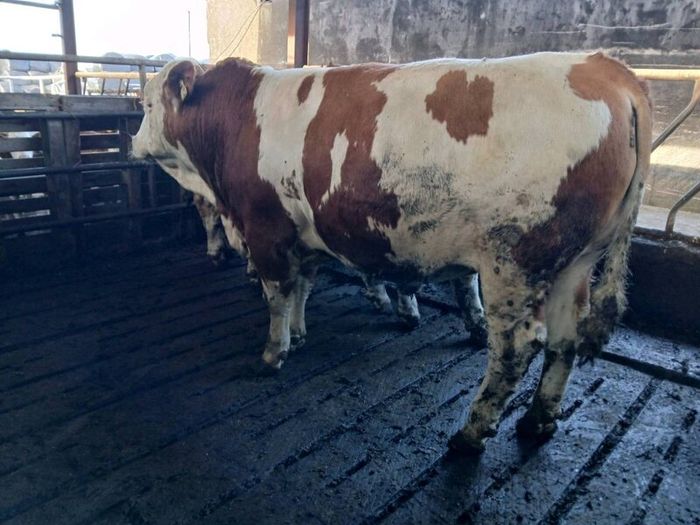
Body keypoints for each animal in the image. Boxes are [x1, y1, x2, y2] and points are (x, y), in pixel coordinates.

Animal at [132, 52, 651, 453]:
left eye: (147, 103)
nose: (134, 141)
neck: (238, 121)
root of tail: (605, 68)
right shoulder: (302, 233)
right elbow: (302, 286)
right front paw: (299, 333)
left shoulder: (266, 228)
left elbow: (278, 294)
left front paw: (274, 352)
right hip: (573, 265)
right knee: (564, 342)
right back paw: (537, 421)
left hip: (514, 263)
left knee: (516, 349)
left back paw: (470, 433)